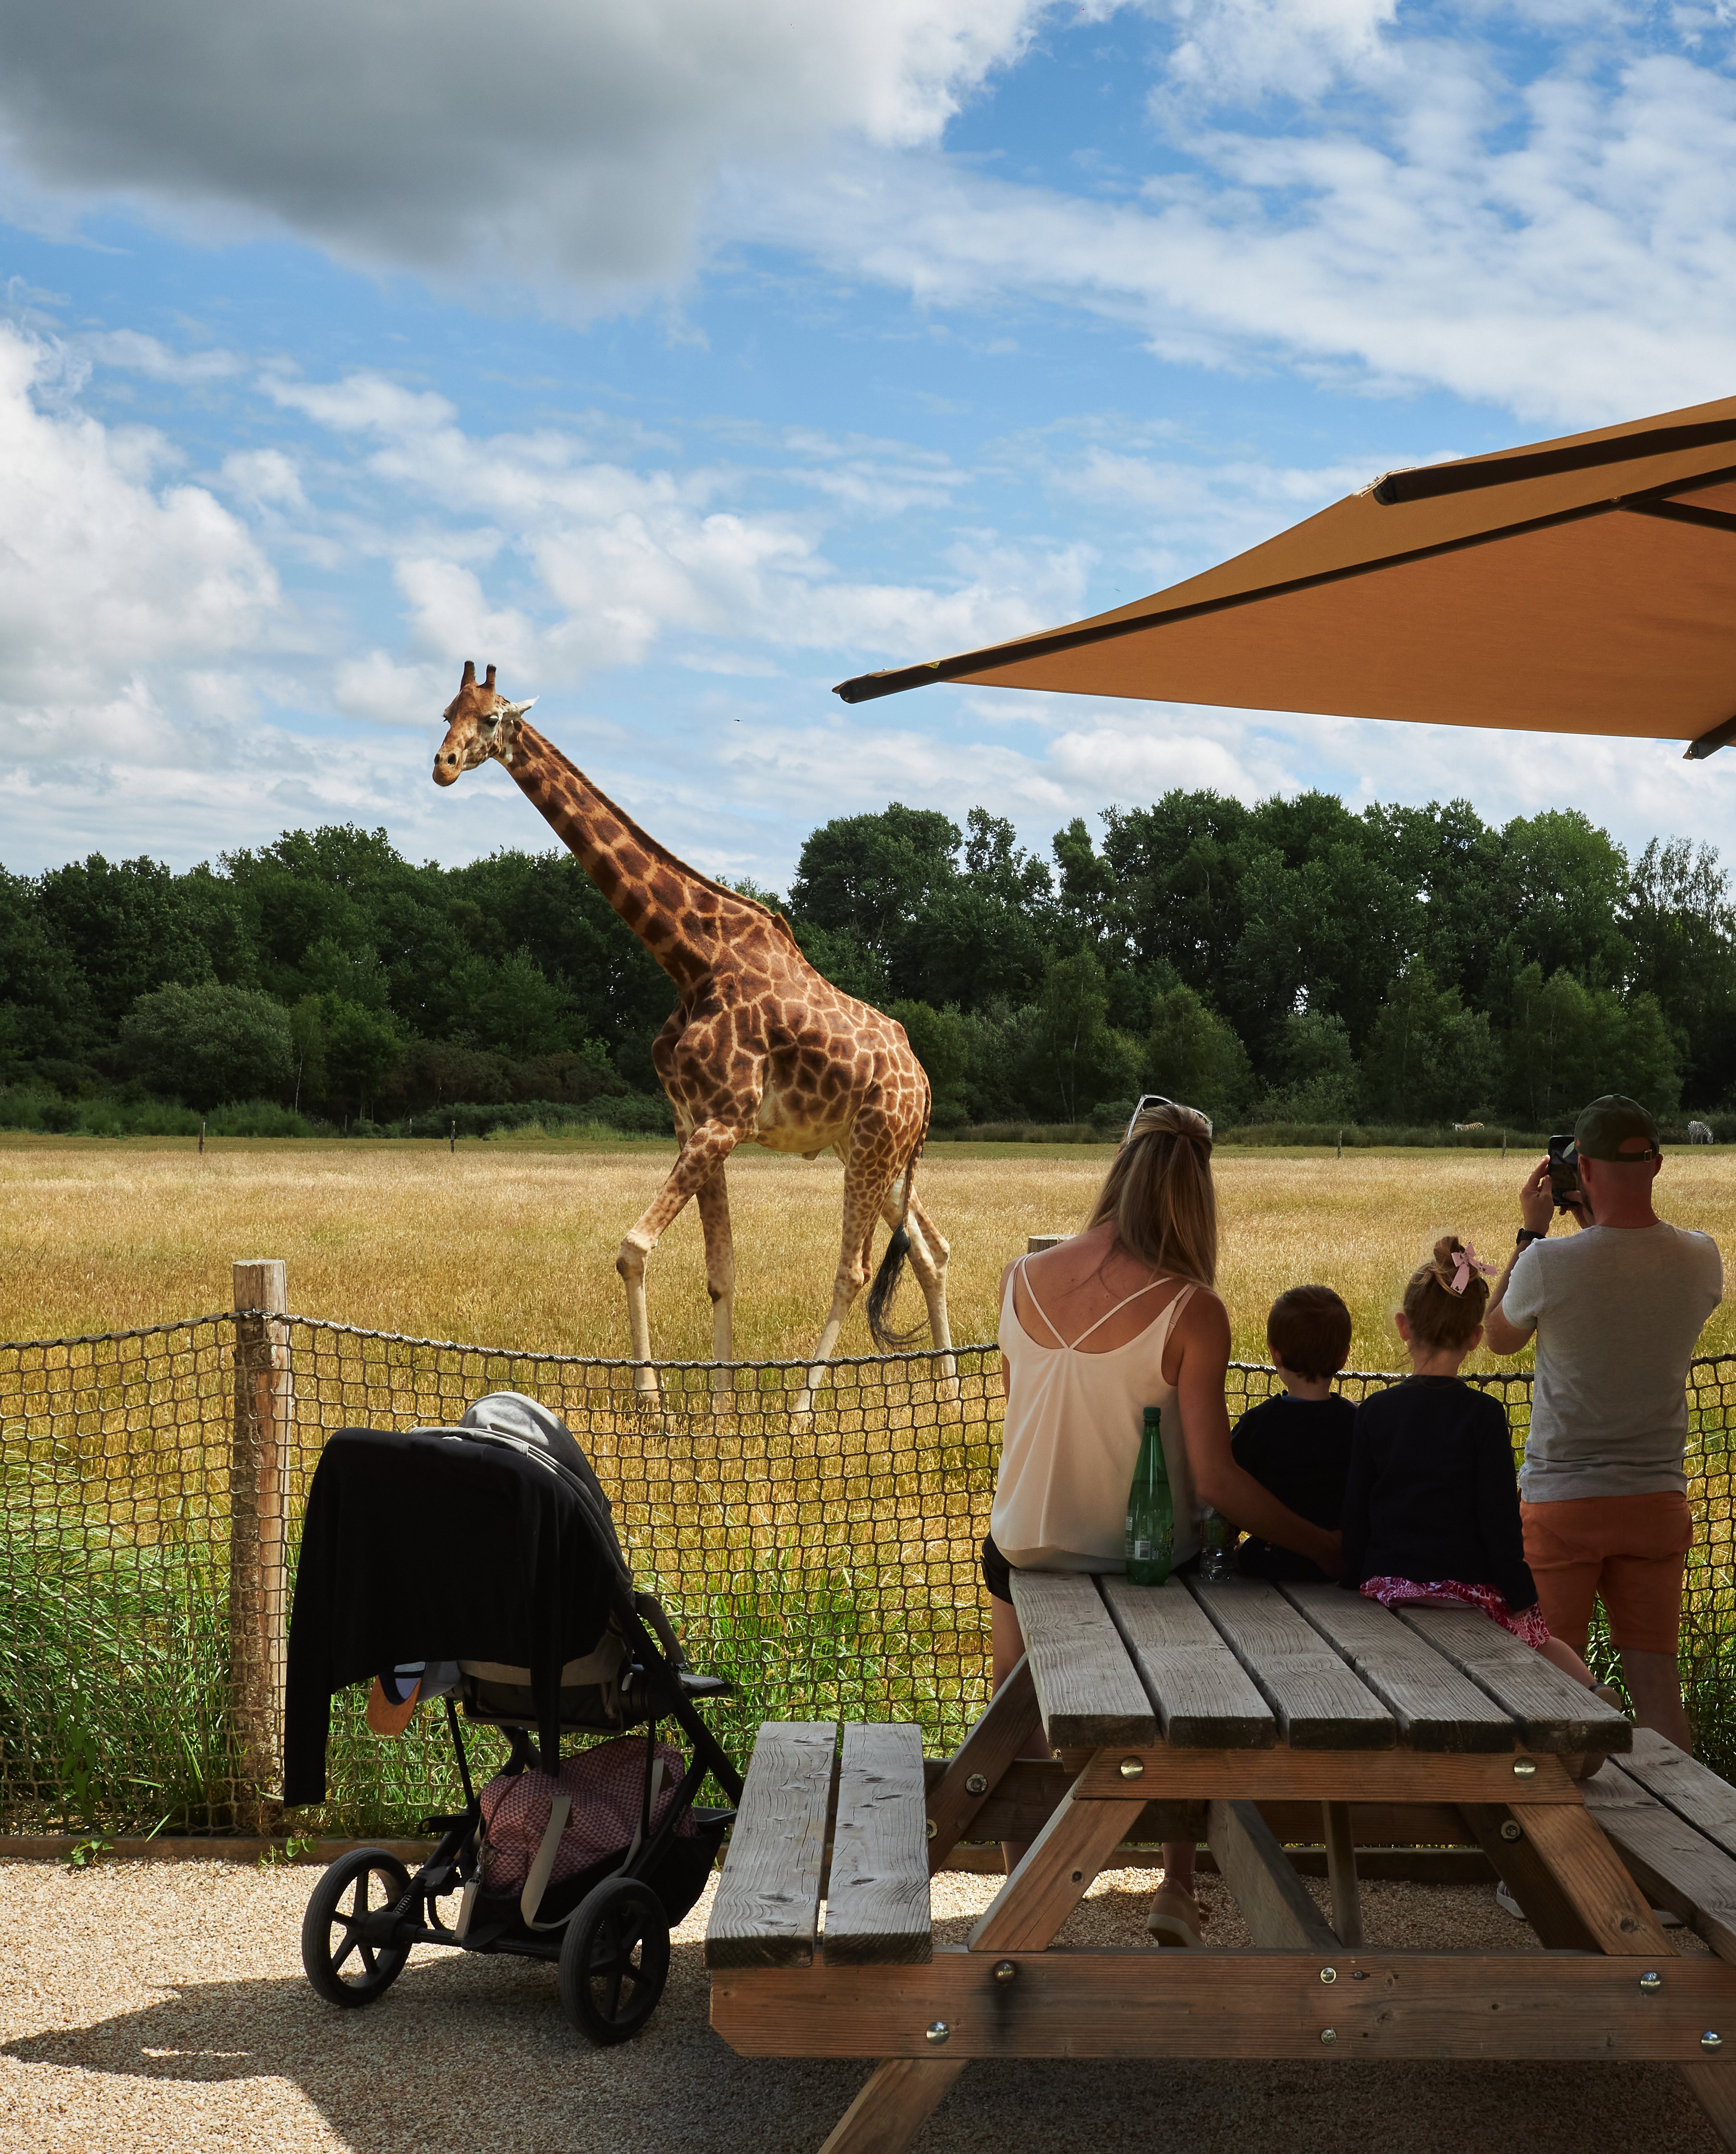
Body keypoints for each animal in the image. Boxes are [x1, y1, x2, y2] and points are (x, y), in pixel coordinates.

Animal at [430, 654, 952, 1396]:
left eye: (494, 716)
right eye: (447, 713)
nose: (443, 765)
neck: (690, 959)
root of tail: (924, 1083)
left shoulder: (723, 1121)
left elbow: (633, 1249)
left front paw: (652, 1402)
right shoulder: (692, 1120)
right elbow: (720, 1272)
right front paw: (719, 1407)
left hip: (877, 1147)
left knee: (853, 1271)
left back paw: (803, 1411)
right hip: (870, 1152)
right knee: (932, 1250)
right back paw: (950, 1393)